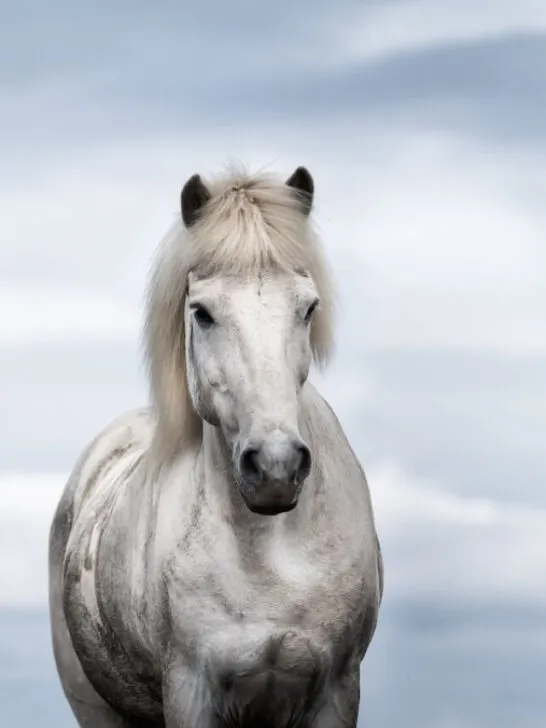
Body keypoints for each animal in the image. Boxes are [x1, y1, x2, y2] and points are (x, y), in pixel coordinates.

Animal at [48, 164, 384, 728]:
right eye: (202, 313)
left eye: (308, 307)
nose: (275, 467)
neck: (270, 555)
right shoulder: (191, 693)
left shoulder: (338, 691)